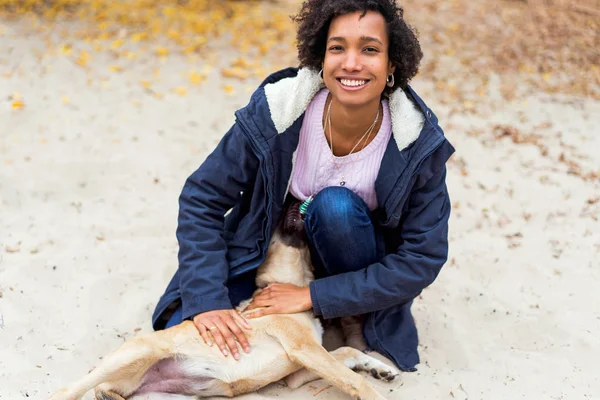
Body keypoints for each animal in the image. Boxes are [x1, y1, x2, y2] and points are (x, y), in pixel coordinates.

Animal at [49, 202, 400, 398]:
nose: (296, 196)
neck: (288, 284)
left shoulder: (298, 371)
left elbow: (346, 352)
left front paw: (377, 367)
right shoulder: (304, 350)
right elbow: (351, 378)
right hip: (136, 352)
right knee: (66, 391)